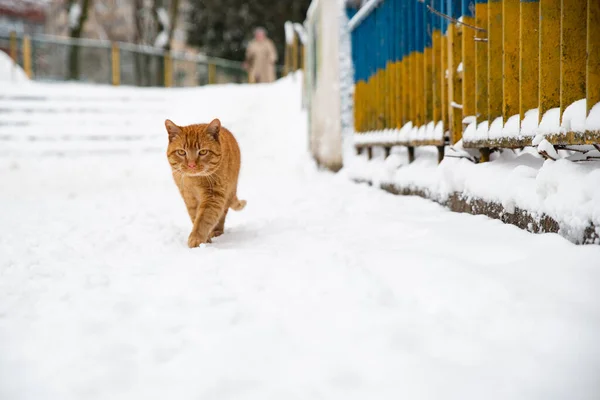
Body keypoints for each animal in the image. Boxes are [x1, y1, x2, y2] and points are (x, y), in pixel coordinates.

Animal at [164, 118, 246, 247]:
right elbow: (195, 217)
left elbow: (203, 219)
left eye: (203, 152)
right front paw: (205, 239)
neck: (194, 181)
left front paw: (196, 239)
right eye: (181, 152)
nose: (191, 165)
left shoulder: (214, 196)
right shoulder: (189, 198)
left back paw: (217, 231)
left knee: (222, 214)